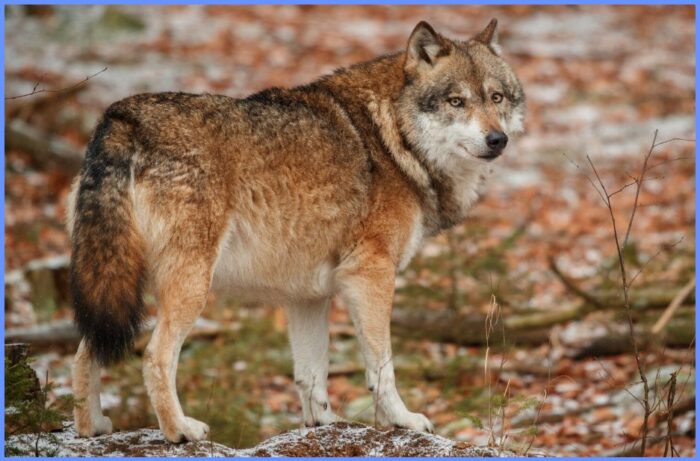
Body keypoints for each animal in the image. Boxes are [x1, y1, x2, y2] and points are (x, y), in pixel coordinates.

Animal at [68, 19, 525, 442]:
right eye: (456, 101)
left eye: (496, 97)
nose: (497, 139)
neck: (394, 136)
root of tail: (121, 117)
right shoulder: (370, 275)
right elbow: (381, 367)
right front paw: (403, 420)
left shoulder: (307, 296)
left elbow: (311, 373)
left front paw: (324, 424)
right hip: (189, 286)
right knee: (153, 357)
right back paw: (180, 430)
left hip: (116, 279)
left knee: (86, 348)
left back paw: (92, 428)